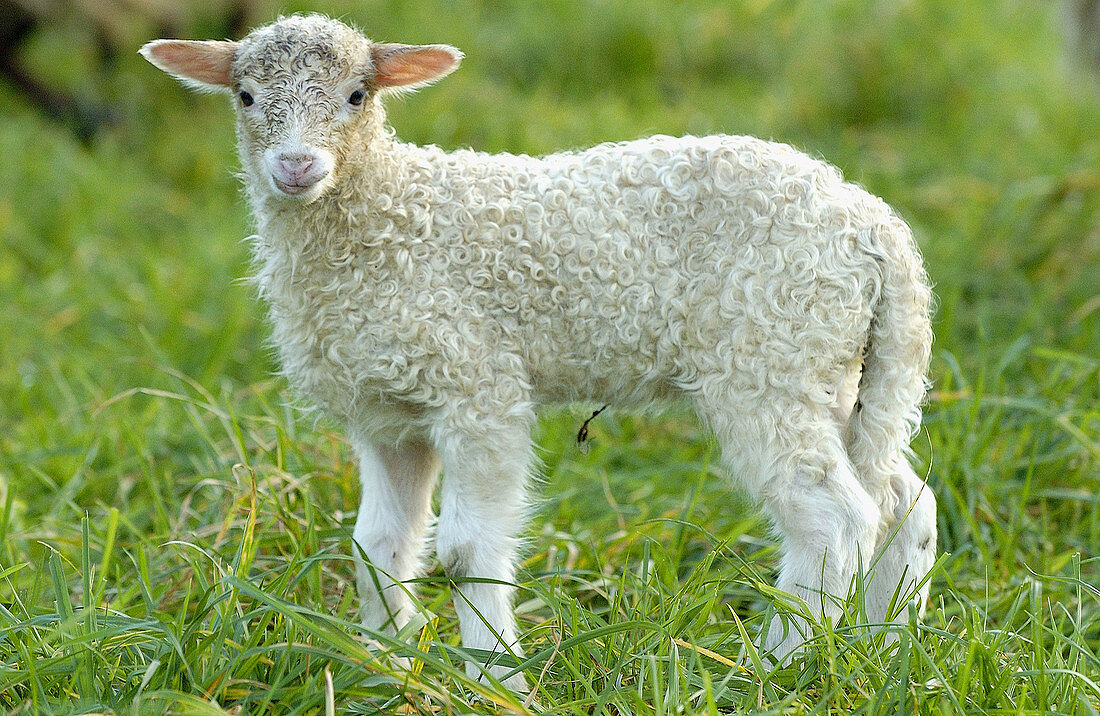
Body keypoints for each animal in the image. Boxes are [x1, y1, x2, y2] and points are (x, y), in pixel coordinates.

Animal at [141, 14, 937, 690]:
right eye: (246, 96)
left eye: (357, 95)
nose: (297, 167)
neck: (388, 214)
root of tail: (874, 226)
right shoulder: (387, 413)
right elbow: (379, 548)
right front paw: (381, 671)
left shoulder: (476, 385)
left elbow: (465, 552)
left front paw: (496, 680)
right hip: (844, 367)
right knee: (901, 497)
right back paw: (887, 653)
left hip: (768, 357)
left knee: (834, 515)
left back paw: (777, 668)